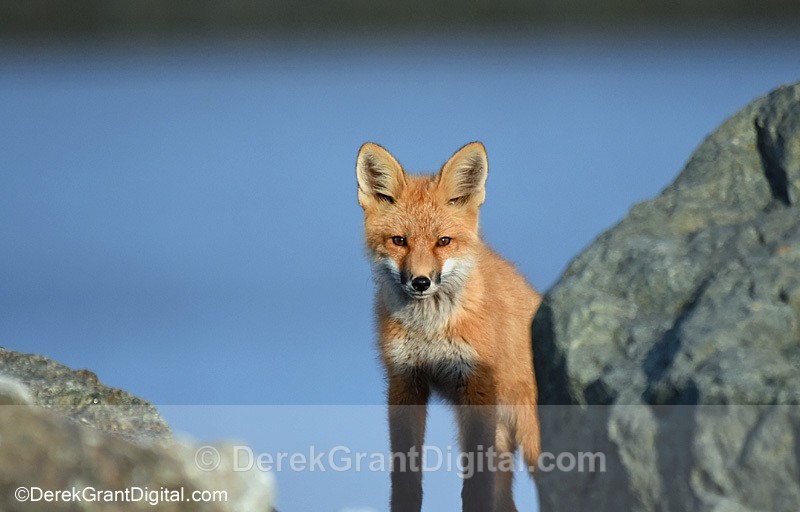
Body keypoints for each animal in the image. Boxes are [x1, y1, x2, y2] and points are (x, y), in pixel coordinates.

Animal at [356, 142, 541, 512]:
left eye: (443, 241)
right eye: (399, 241)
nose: (421, 282)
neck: (430, 330)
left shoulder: (476, 385)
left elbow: (475, 486)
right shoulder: (405, 382)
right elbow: (406, 478)